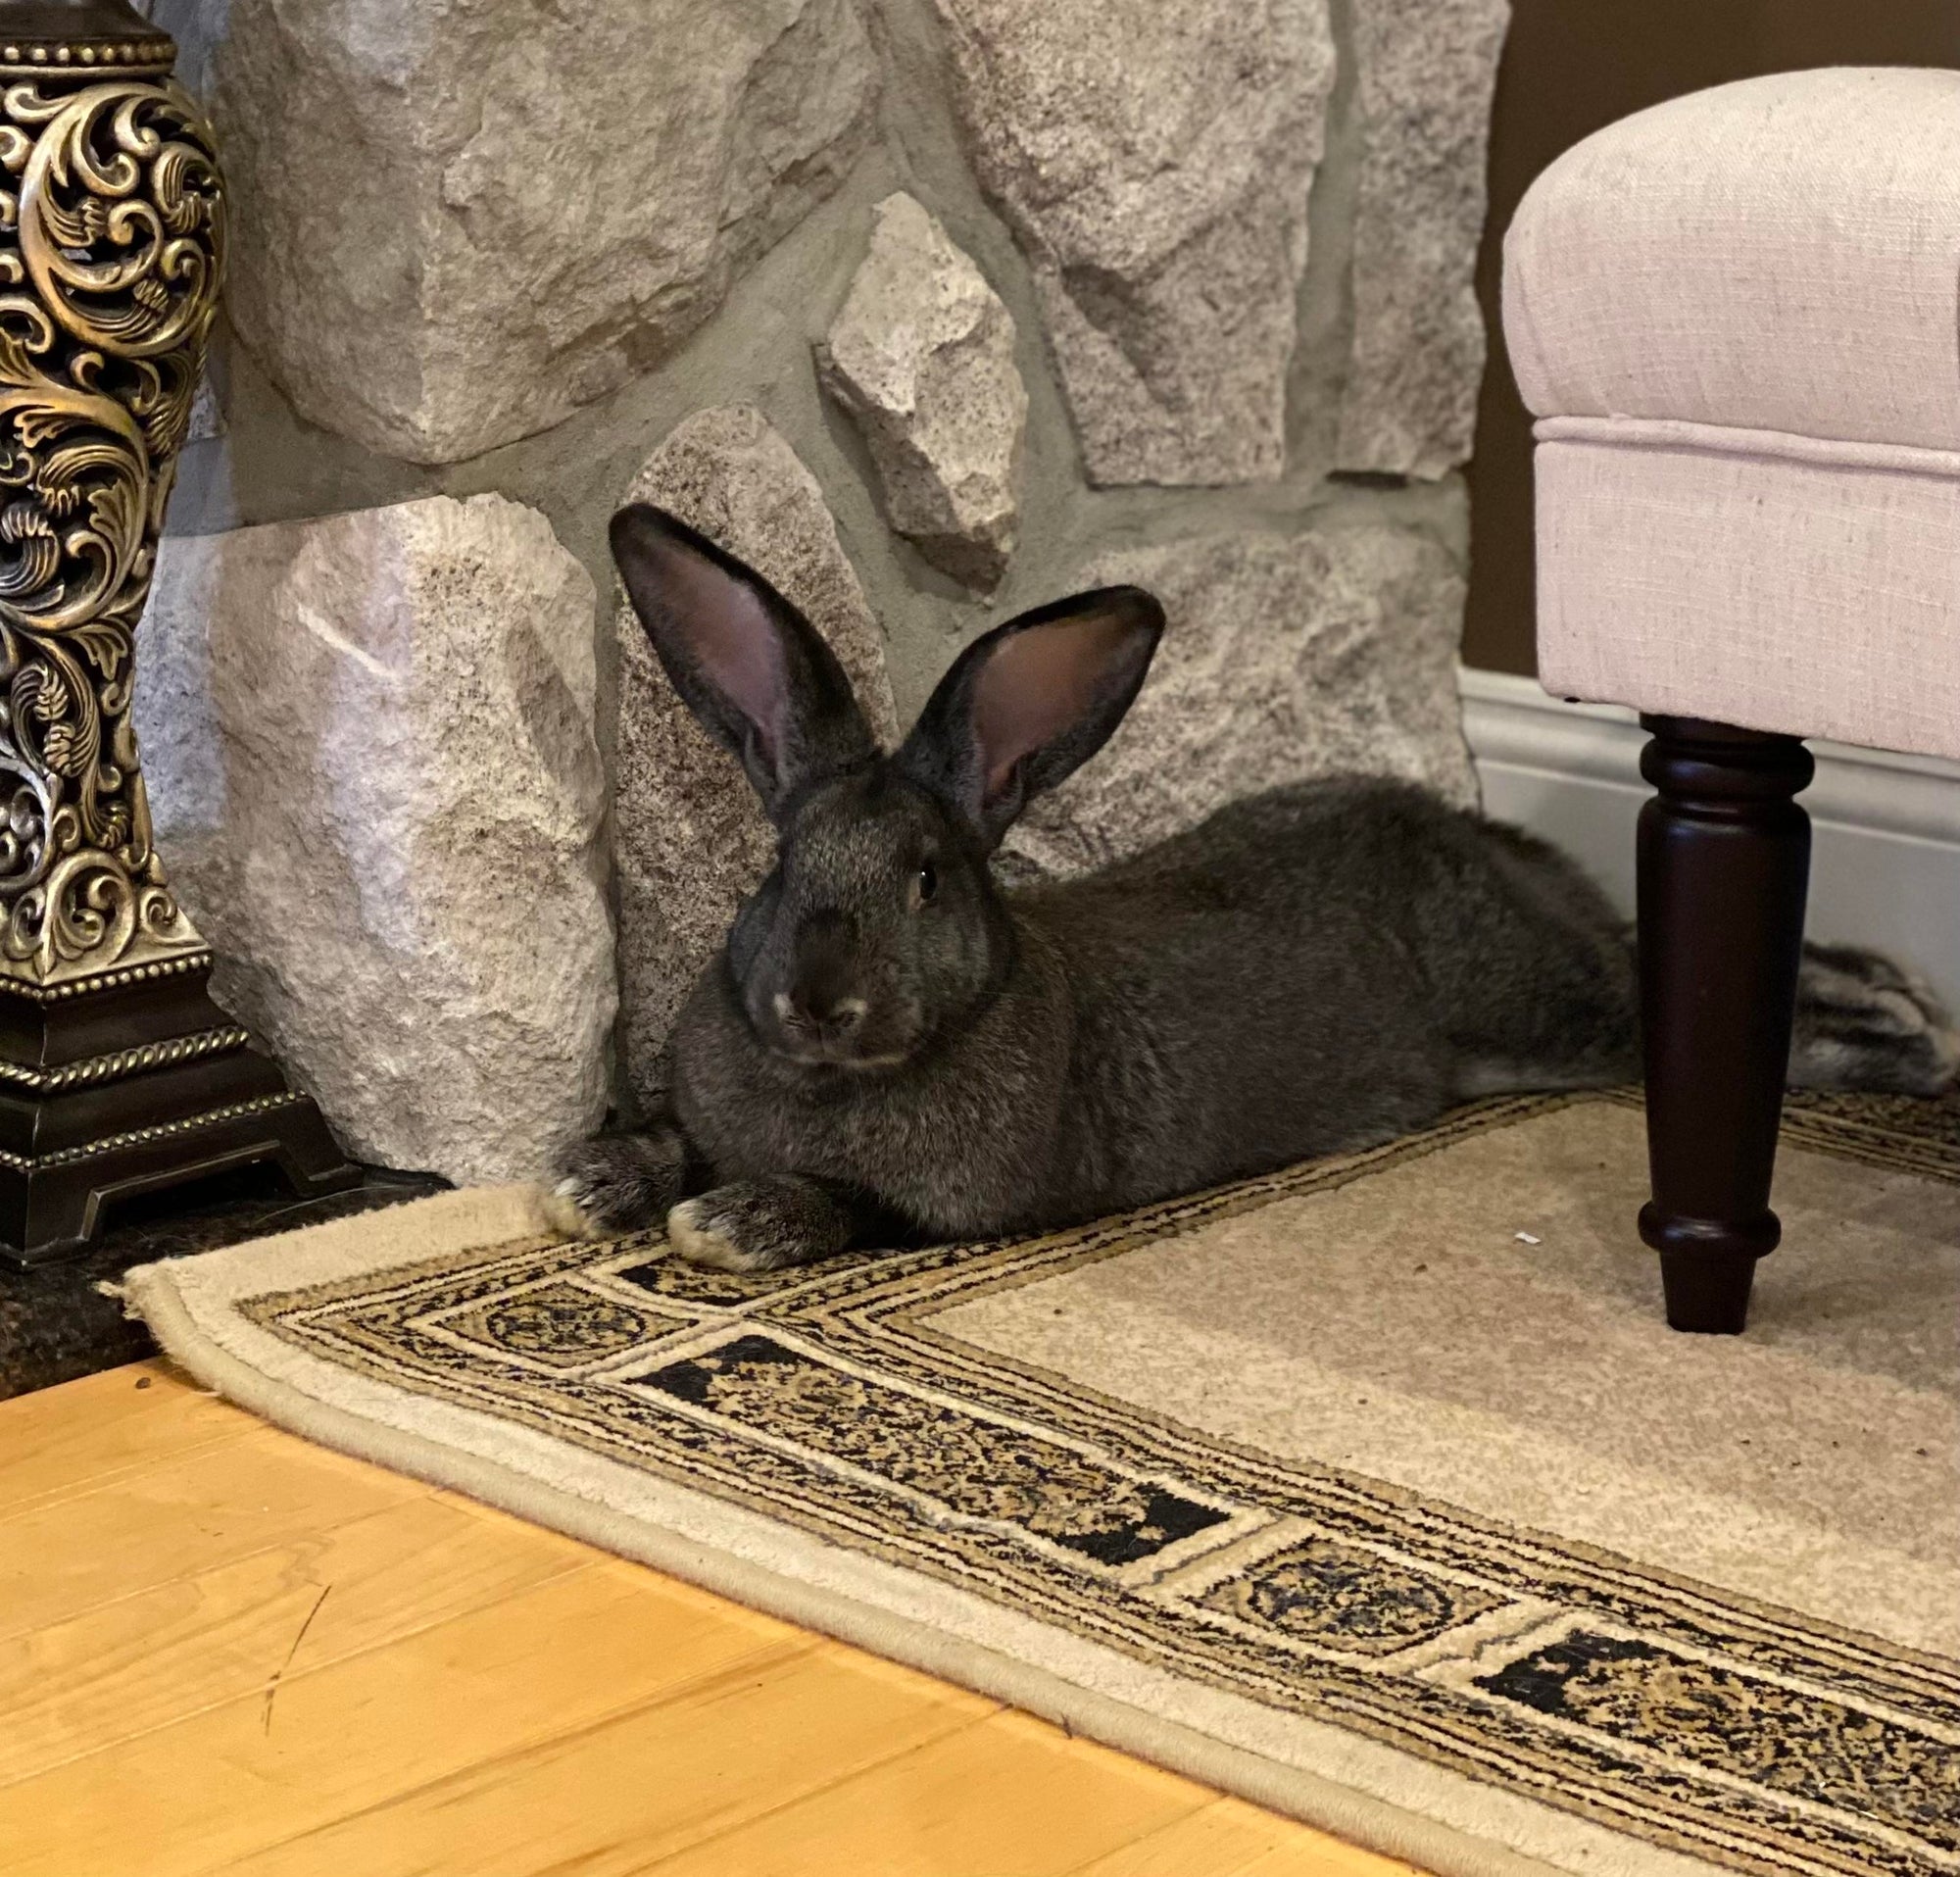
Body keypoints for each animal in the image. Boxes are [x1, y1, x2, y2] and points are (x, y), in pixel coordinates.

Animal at [551, 503, 1960, 1273]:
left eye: (926, 880)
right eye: (778, 867)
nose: (814, 1001)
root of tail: (1478, 837)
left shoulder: (953, 1204)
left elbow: (843, 1203)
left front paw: (726, 1221)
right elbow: (670, 1135)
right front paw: (594, 1182)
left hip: (1556, 1014)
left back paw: (1911, 1040)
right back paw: (1902, 993)